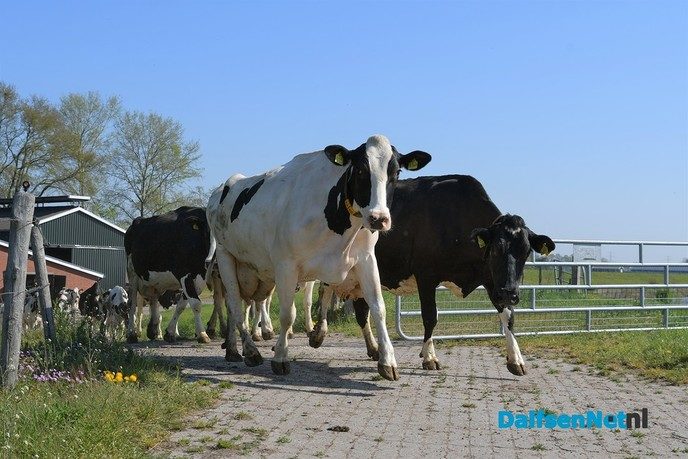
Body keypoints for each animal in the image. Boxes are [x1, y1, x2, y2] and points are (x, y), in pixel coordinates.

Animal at [124, 206, 215, 344]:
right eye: (208, 232)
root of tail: (137, 221)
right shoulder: (185, 273)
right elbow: (196, 304)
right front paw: (202, 334)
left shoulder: (198, 279)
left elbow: (181, 306)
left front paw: (170, 332)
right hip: (132, 272)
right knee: (132, 303)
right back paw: (131, 334)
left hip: (154, 280)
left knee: (153, 300)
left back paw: (154, 331)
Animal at [207, 134, 431, 380]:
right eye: (360, 170)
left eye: (396, 172)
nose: (378, 218)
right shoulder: (286, 265)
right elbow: (287, 314)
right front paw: (281, 357)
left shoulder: (366, 260)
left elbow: (377, 308)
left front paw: (387, 361)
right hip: (225, 257)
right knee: (235, 306)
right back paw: (248, 350)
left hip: (256, 273)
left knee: (246, 304)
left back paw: (233, 349)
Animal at [308, 175, 555, 376]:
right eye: (495, 249)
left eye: (526, 252)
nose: (510, 293)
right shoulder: (426, 275)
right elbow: (430, 317)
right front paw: (429, 357)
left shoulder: (493, 279)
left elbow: (509, 317)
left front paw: (516, 359)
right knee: (324, 291)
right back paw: (318, 333)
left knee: (361, 311)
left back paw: (374, 348)